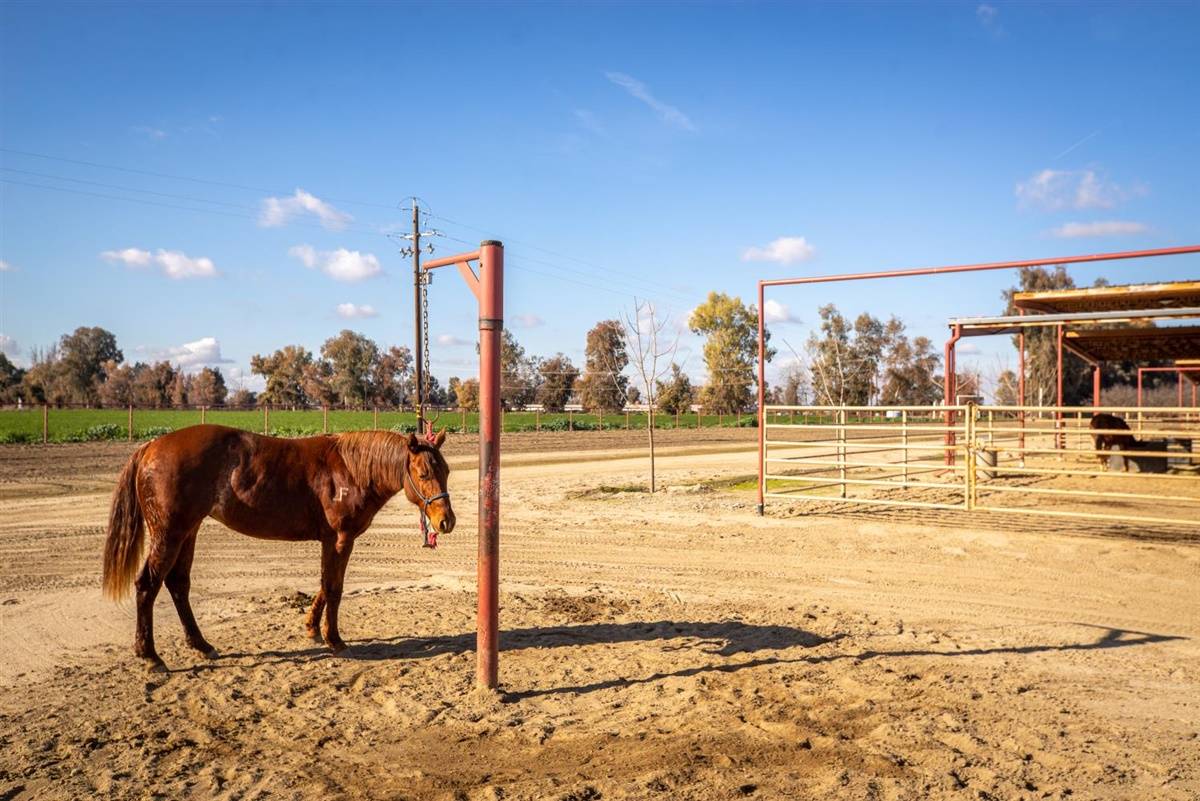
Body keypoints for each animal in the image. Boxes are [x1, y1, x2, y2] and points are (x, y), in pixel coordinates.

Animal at [101, 424, 454, 670]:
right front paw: (334, 639)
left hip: (188, 531)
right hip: (169, 534)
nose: (445, 521)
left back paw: (200, 644)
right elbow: (334, 587)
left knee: (177, 584)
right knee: (148, 585)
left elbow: (325, 584)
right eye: (424, 473)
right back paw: (150, 655)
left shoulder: (331, 541)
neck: (350, 469)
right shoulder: (341, 539)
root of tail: (150, 446)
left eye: (446, 471)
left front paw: (312, 628)